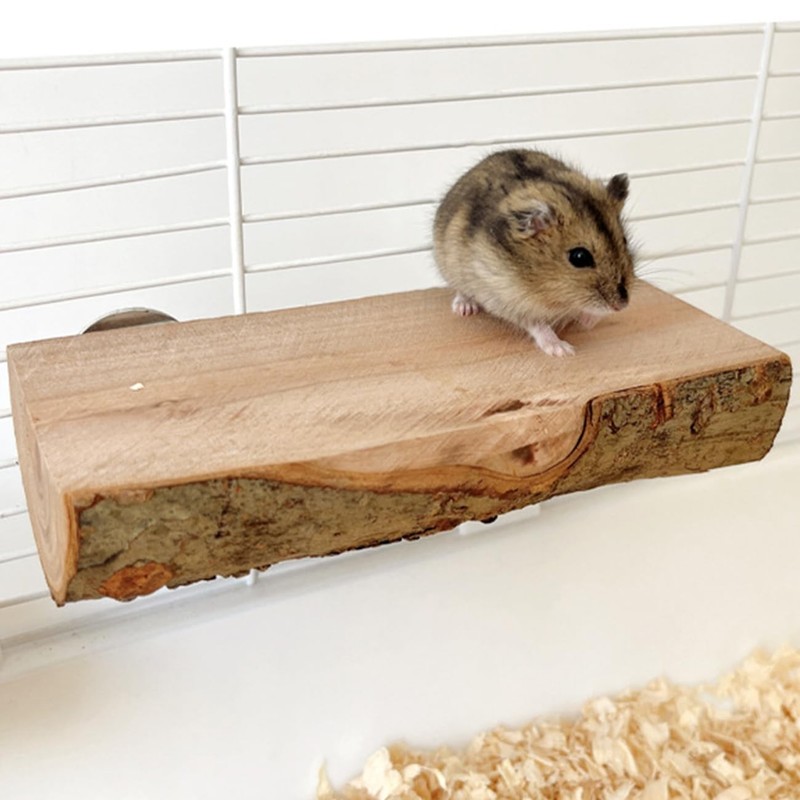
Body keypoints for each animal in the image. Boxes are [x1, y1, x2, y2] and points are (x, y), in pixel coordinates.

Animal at [433, 149, 635, 356]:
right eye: (579, 257)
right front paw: (563, 350)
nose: (621, 306)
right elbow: (537, 324)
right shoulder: (507, 298)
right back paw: (465, 308)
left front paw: (587, 321)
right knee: (460, 290)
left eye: (624, 241)